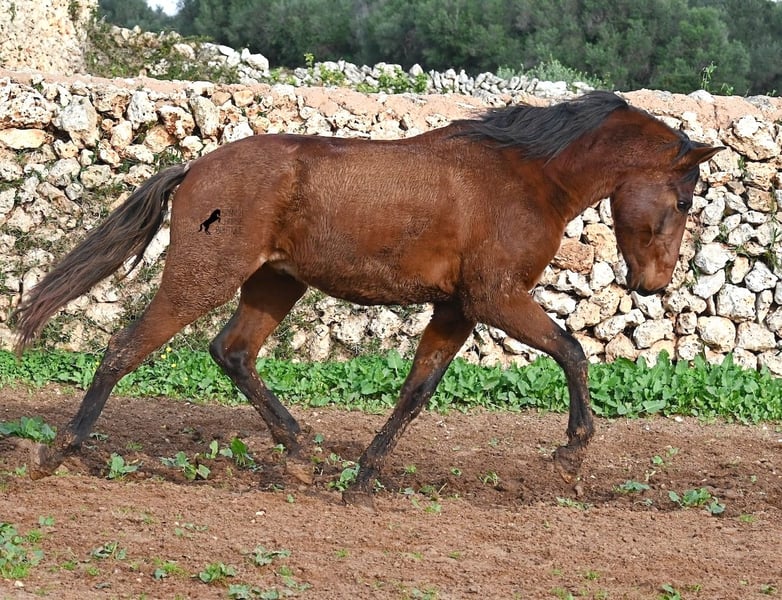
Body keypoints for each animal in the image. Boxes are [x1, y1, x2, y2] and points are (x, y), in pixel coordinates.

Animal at [14, 91, 722, 507]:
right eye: (686, 201)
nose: (653, 284)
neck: (528, 177)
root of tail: (195, 169)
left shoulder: (456, 308)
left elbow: (416, 391)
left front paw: (361, 482)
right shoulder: (495, 297)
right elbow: (572, 351)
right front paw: (571, 455)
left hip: (276, 282)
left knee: (232, 351)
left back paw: (301, 456)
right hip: (203, 277)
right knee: (124, 347)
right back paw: (59, 451)